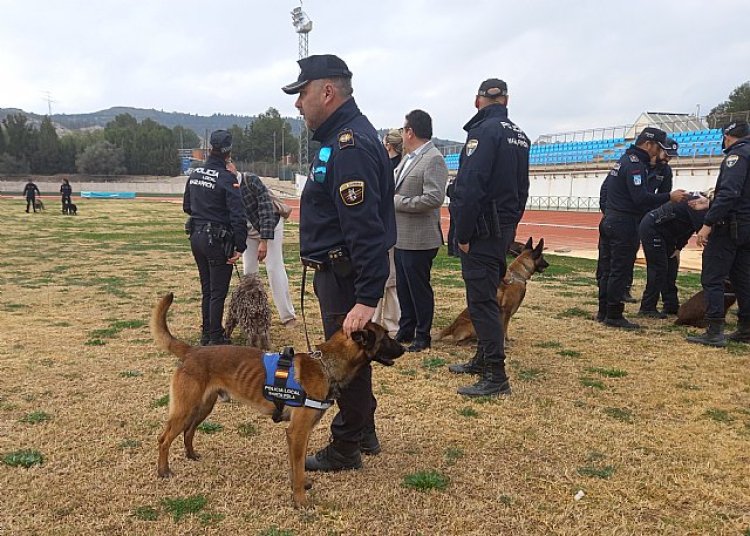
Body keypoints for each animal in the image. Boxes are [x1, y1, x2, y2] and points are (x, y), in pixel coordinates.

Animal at [151, 294, 406, 506]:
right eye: (385, 337)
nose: (404, 348)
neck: (326, 366)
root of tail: (192, 351)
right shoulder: (297, 432)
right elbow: (298, 467)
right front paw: (300, 500)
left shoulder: (301, 433)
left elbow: (297, 464)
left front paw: (299, 487)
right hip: (185, 409)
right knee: (164, 438)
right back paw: (163, 471)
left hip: (202, 407)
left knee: (189, 431)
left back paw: (191, 455)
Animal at [184, 131, 248, 348]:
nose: (230, 160)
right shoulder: (232, 184)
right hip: (218, 262)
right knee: (217, 297)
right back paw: (217, 338)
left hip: (202, 260)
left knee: (207, 296)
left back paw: (206, 336)